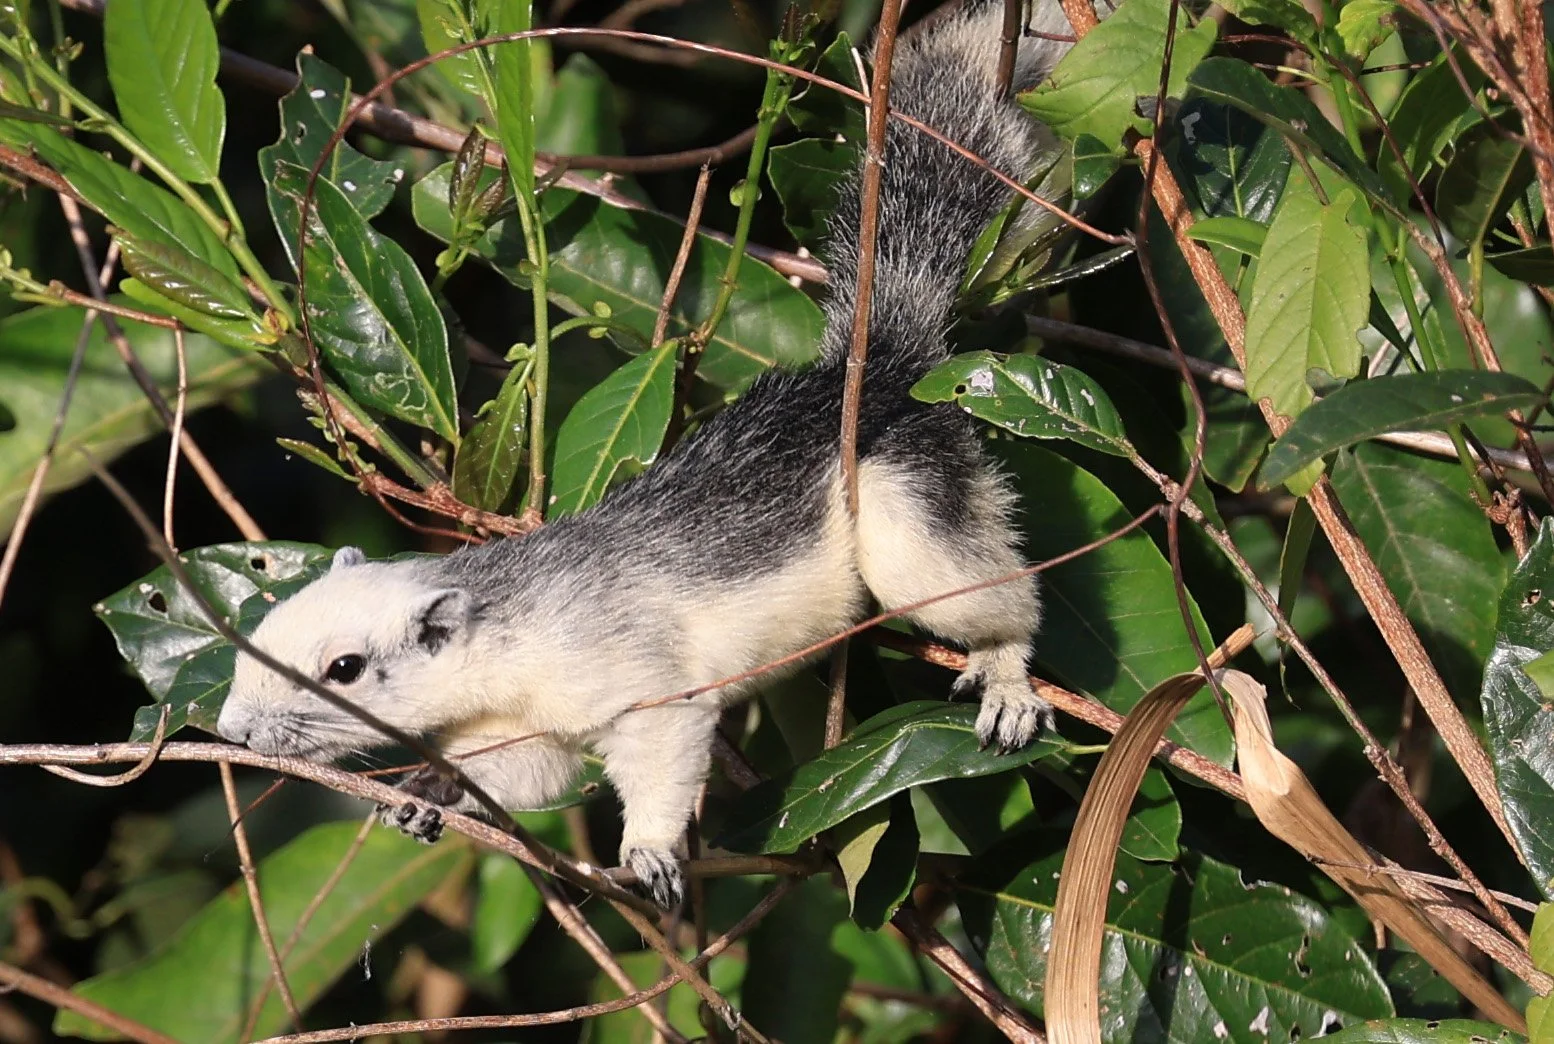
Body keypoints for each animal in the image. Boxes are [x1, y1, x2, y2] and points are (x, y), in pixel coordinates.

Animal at [216, 0, 1072, 909]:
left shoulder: (639, 676)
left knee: (996, 595)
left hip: (907, 509)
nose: (233, 730)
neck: (504, 636)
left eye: (344, 669)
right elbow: (527, 772)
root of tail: (881, 367)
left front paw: (652, 851)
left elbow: (663, 751)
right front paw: (430, 792)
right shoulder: (523, 727)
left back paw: (1007, 678)